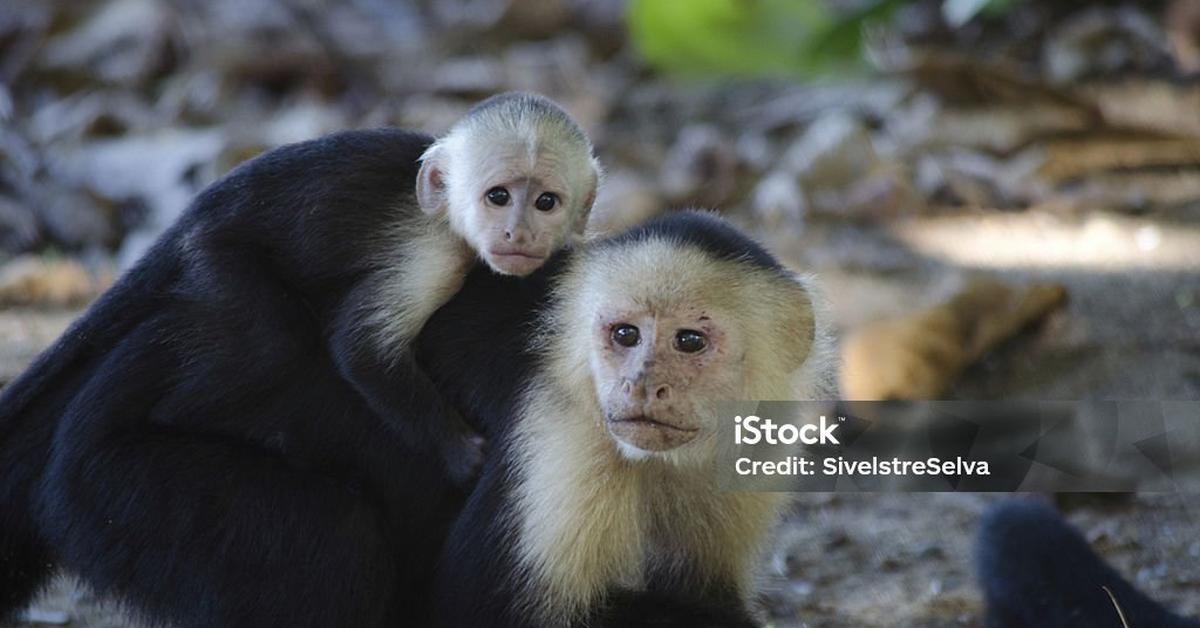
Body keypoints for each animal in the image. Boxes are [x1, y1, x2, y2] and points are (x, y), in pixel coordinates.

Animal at [0, 93, 600, 628]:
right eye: (497, 196)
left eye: (546, 202)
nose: (518, 232)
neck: (449, 215)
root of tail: (195, 215)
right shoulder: (431, 254)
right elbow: (360, 348)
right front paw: (459, 454)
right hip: (214, 263)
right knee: (270, 341)